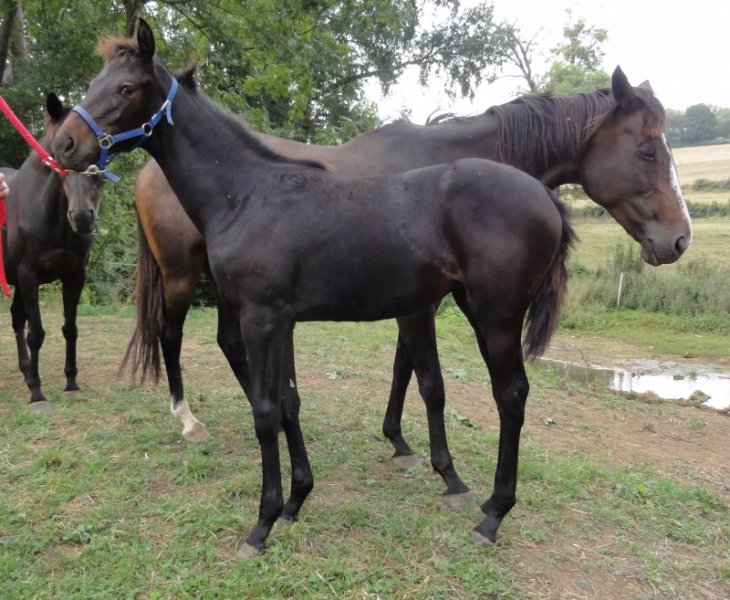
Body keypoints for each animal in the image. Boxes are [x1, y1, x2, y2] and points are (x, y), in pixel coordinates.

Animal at [1, 94, 102, 412]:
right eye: (60, 151)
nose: (82, 217)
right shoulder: (29, 276)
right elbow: (36, 334)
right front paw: (36, 392)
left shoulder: (74, 275)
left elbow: (70, 328)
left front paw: (71, 382)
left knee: (16, 317)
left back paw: (24, 369)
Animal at [54, 19, 575, 554]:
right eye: (94, 82)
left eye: (125, 88)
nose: (64, 144)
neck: (244, 194)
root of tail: (546, 197)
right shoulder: (280, 322)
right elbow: (289, 404)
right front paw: (296, 499)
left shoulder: (261, 320)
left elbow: (265, 413)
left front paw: (261, 523)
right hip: (475, 308)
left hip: (497, 316)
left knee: (511, 395)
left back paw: (493, 515)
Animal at [123, 63, 692, 449]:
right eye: (647, 151)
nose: (680, 239)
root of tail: (148, 170)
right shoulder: (418, 302)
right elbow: (425, 377)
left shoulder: (412, 297)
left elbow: (404, 368)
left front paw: (395, 436)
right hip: (181, 276)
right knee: (170, 334)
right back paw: (188, 418)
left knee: (227, 341)